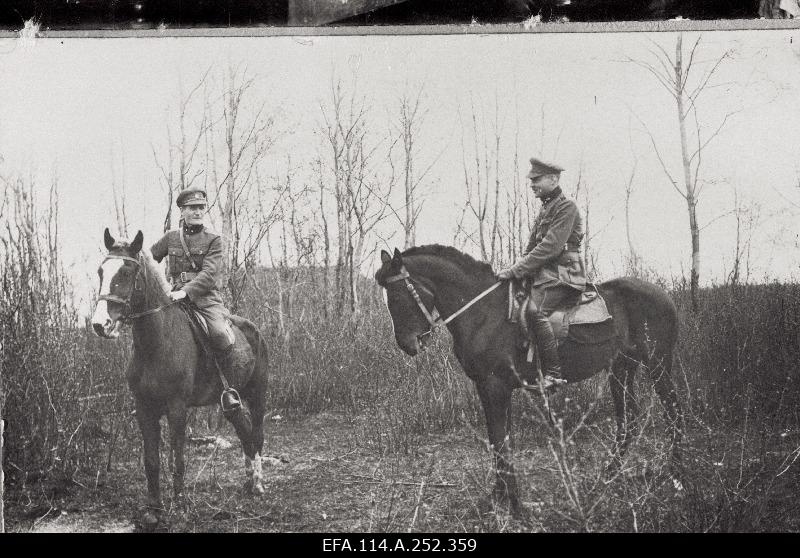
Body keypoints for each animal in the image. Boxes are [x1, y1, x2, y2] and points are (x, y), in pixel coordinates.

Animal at [89, 230, 268, 532]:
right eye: (101, 271)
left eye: (126, 272)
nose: (101, 325)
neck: (157, 343)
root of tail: (254, 330)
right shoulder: (144, 409)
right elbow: (151, 460)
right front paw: (153, 510)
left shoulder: (177, 409)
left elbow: (179, 459)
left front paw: (181, 505)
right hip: (230, 402)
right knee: (243, 429)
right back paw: (247, 479)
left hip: (257, 395)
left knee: (256, 433)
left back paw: (257, 482)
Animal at [376, 247, 680, 520]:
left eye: (399, 295)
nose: (407, 344)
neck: (484, 312)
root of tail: (664, 295)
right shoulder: (490, 389)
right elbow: (499, 441)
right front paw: (499, 497)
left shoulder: (495, 387)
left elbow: (500, 442)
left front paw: (513, 504)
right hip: (621, 368)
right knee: (628, 421)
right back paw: (606, 478)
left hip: (658, 364)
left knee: (673, 412)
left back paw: (675, 474)